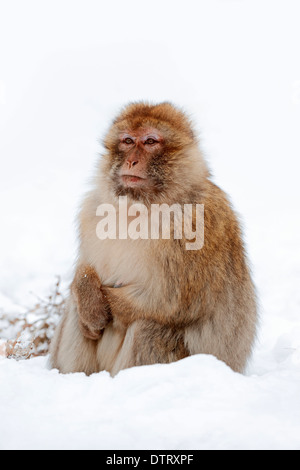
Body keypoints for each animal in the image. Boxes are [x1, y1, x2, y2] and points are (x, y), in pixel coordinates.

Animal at [49, 103, 258, 378]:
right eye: (128, 141)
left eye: (150, 141)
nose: (131, 160)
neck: (139, 207)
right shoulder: (90, 212)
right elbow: (85, 271)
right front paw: (90, 304)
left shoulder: (197, 226)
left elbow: (169, 302)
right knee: (76, 308)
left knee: (150, 327)